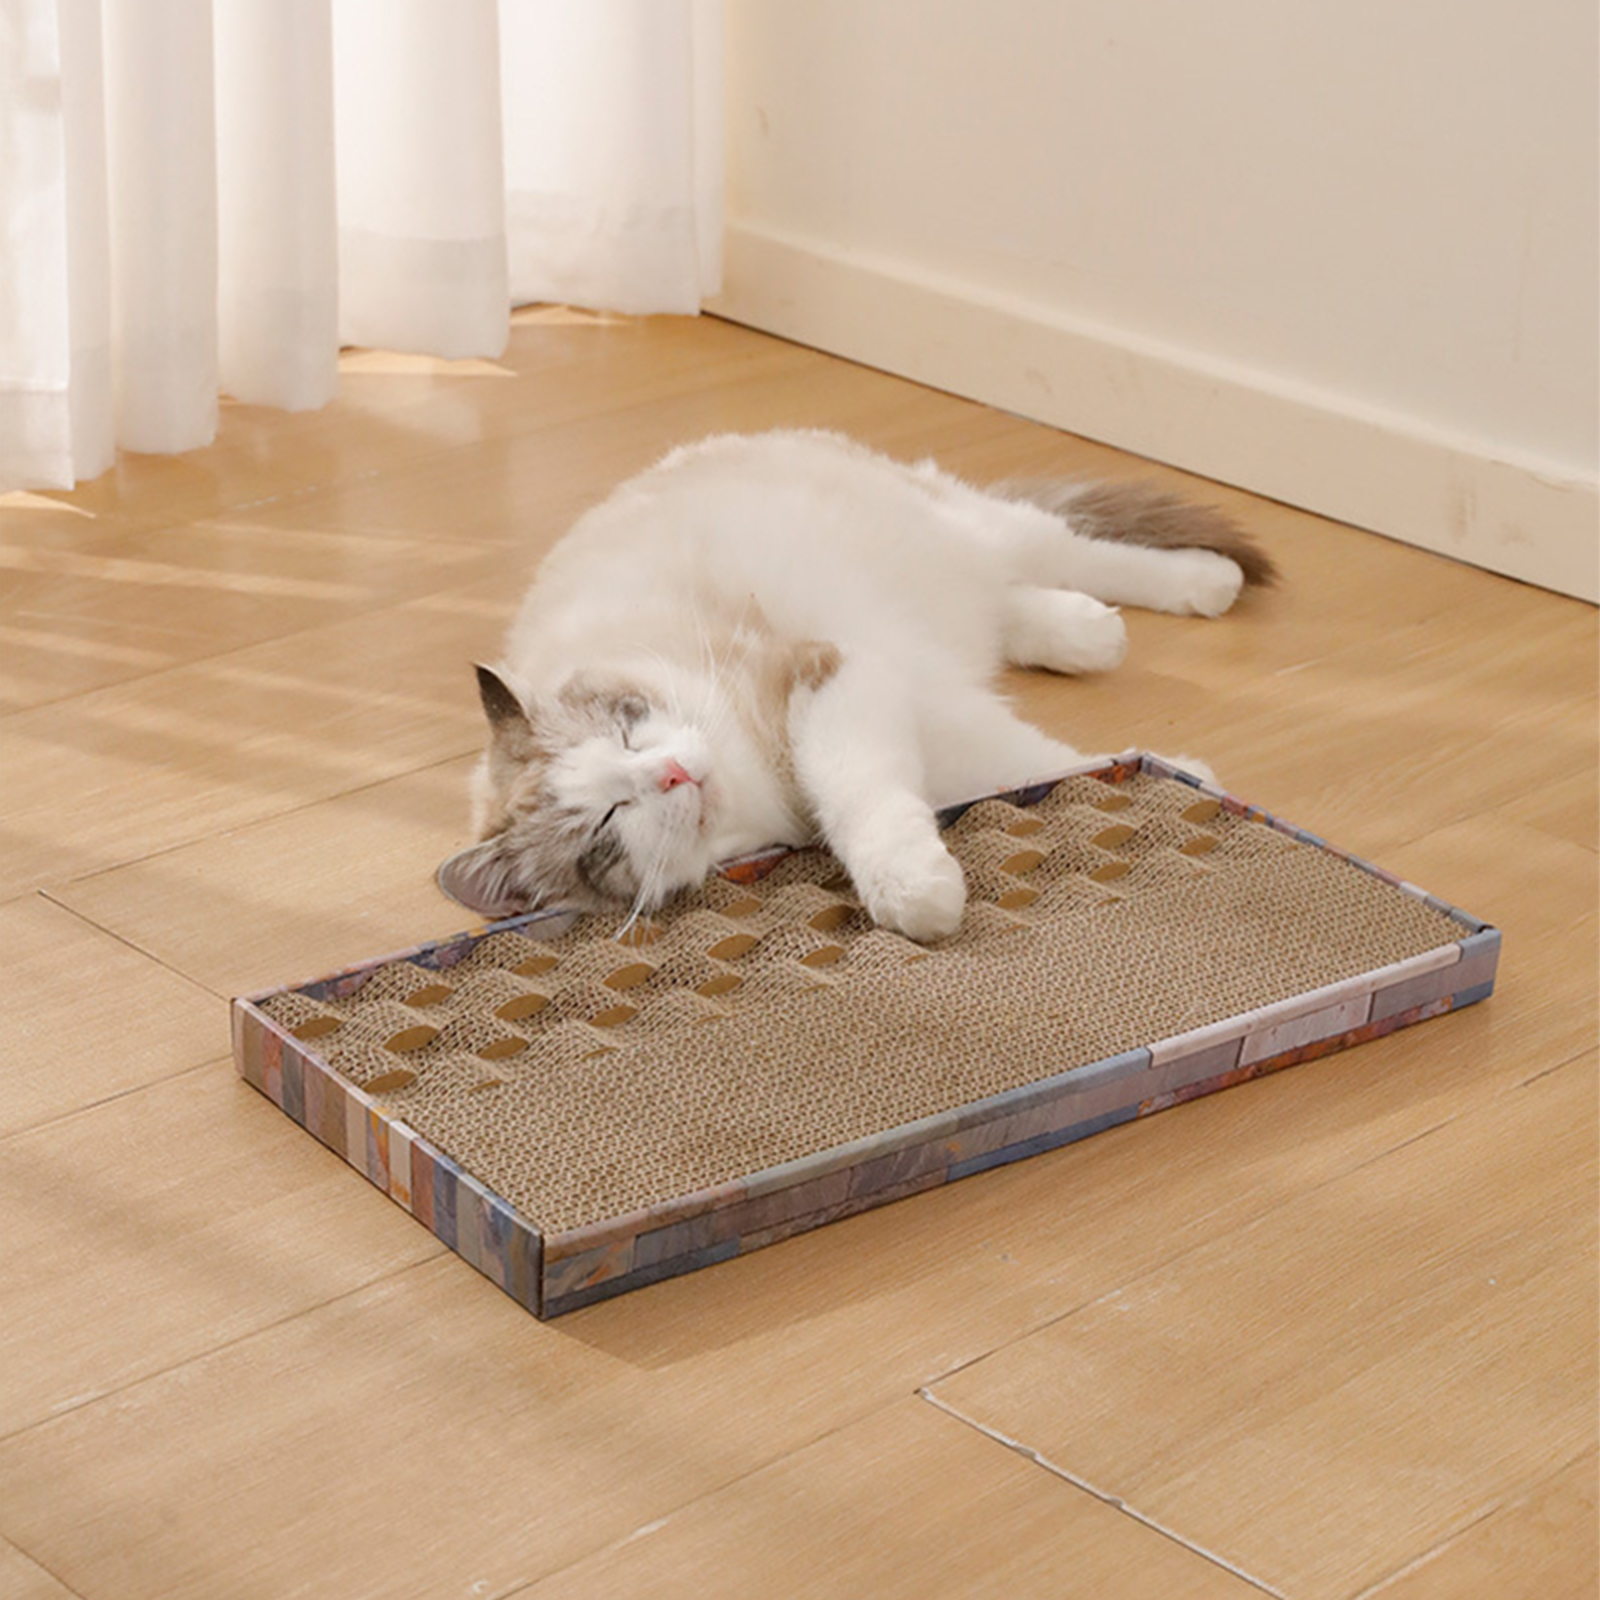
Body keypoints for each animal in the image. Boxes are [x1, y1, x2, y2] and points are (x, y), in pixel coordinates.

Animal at [438, 429, 1275, 941]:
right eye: (608, 824)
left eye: (627, 727)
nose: (674, 772)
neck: (759, 798)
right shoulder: (900, 702)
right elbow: (1032, 763)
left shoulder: (832, 678)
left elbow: (874, 792)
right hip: (958, 595)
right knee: (1013, 606)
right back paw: (1091, 635)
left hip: (979, 532)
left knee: (1072, 552)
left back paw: (1203, 584)